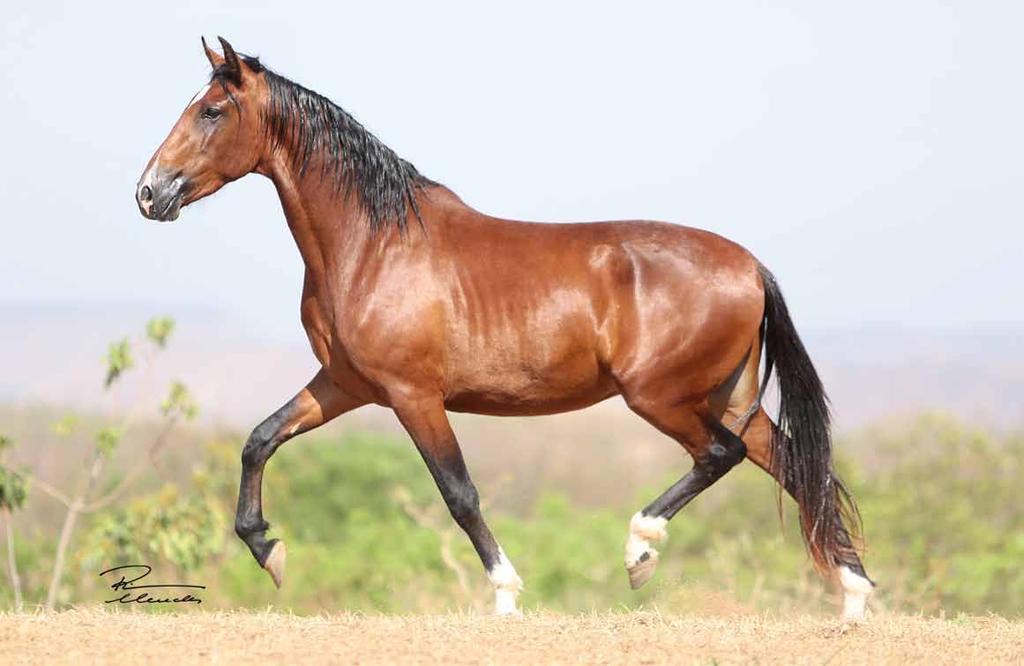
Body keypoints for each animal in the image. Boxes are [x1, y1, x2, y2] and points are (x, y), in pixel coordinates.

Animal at [134, 36, 872, 618]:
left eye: (211, 110)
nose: (149, 192)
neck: (374, 245)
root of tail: (750, 267)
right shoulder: (344, 384)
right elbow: (259, 440)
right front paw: (270, 549)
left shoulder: (413, 397)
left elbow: (459, 494)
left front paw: (508, 594)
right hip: (726, 396)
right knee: (790, 465)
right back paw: (855, 596)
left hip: (662, 398)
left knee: (722, 455)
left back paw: (640, 551)